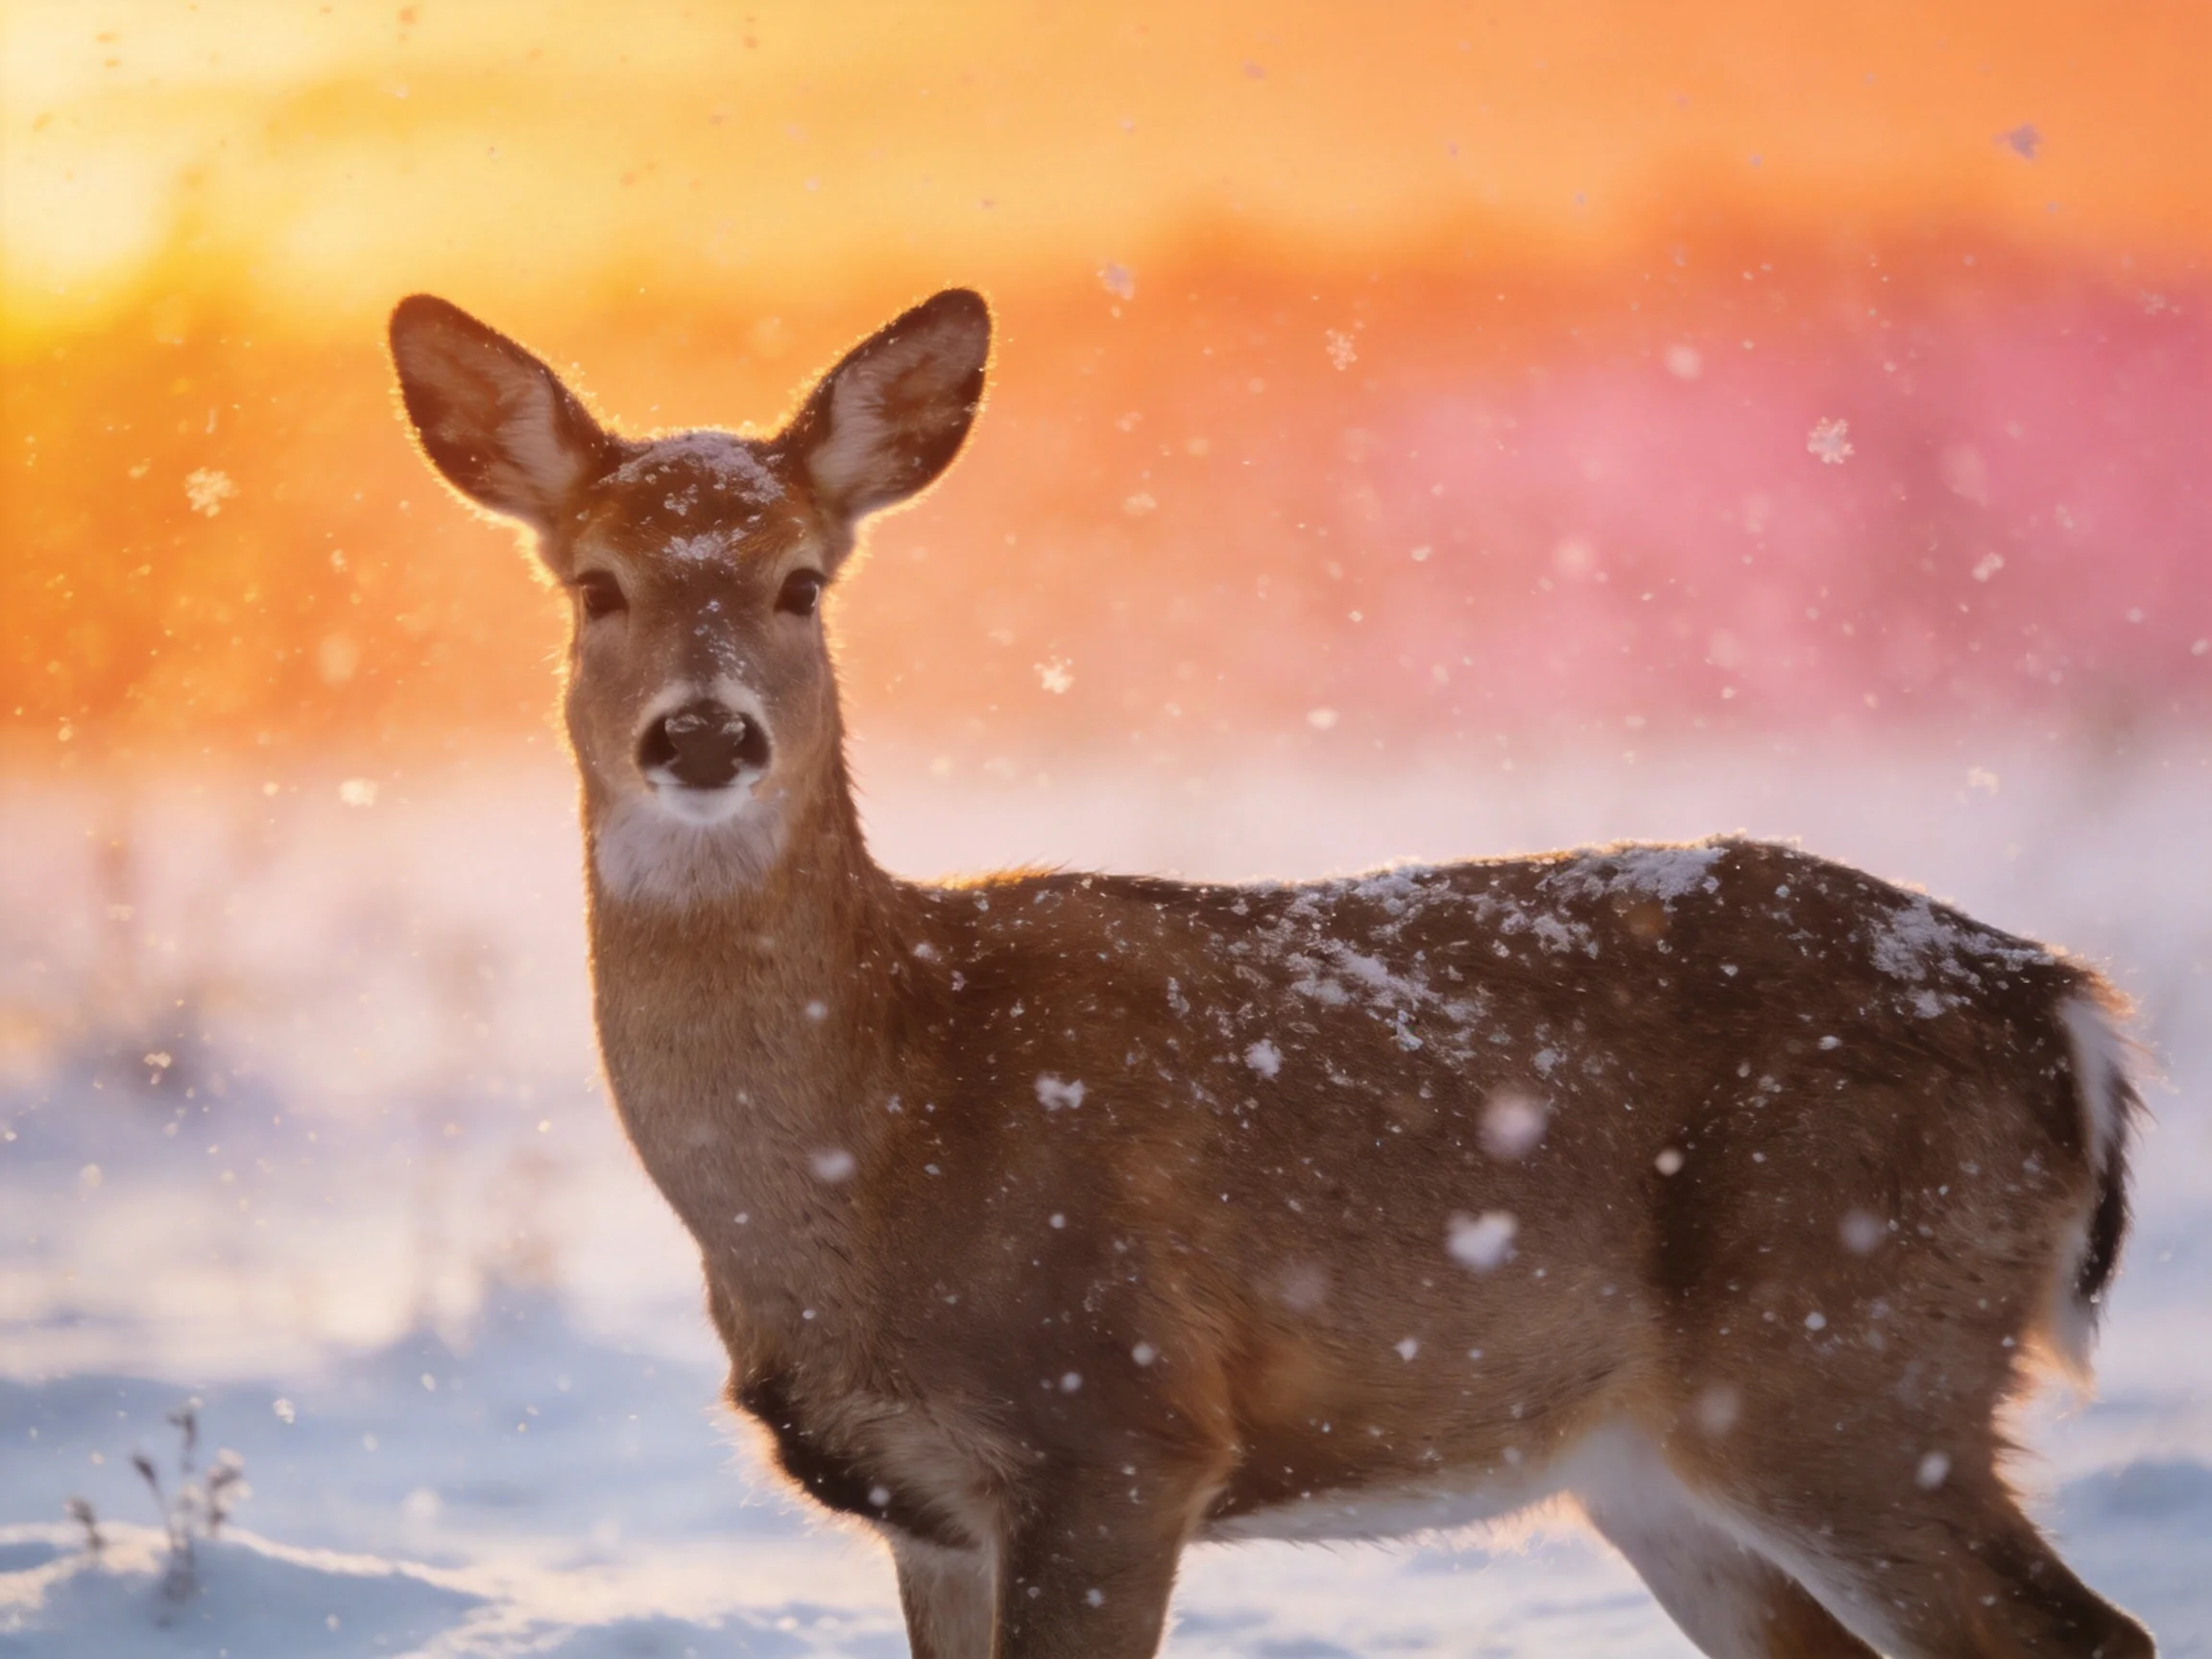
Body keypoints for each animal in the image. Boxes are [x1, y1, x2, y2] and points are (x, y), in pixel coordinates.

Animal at [389, 287, 2156, 1658]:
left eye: (801, 582)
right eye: (594, 585)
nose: (703, 735)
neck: (879, 1133)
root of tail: (2060, 1005)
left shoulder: (1117, 1427)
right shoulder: (928, 1505)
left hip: (1845, 1357)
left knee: (2082, 1630)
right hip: (1663, 1460)